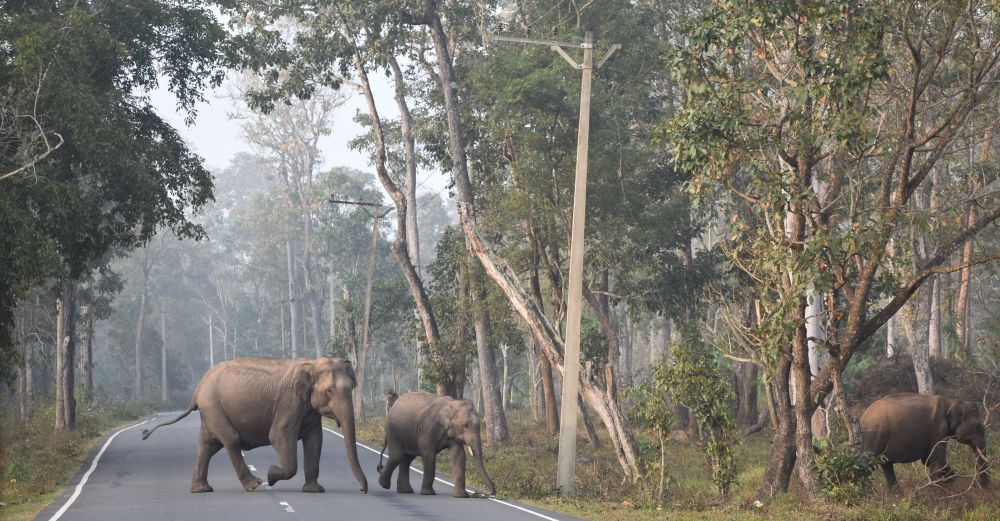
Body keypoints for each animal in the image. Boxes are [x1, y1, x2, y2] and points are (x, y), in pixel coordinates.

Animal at [143, 356, 370, 494]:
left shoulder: (309, 409)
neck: (311, 363)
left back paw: (202, 489)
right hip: (214, 407)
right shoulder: (289, 402)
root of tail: (197, 389)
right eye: (330, 391)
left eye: (353, 387)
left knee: (207, 446)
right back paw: (254, 484)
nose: (363, 490)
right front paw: (271, 475)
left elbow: (315, 440)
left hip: (211, 412)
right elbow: (278, 435)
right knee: (231, 440)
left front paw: (315, 490)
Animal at [860, 392, 992, 490]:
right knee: (866, 465)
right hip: (873, 436)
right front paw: (939, 493)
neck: (951, 402)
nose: (983, 490)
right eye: (977, 426)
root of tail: (862, 417)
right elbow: (937, 461)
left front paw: (951, 480)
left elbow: (928, 461)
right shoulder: (938, 429)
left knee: (887, 466)